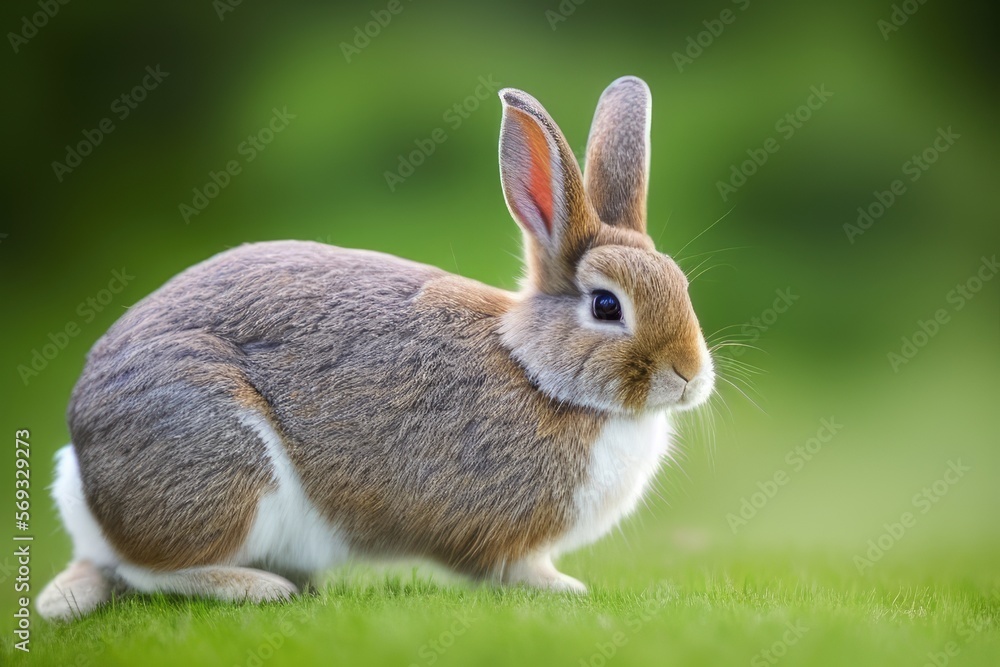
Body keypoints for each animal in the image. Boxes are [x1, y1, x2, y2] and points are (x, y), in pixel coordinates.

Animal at [37, 75, 715, 620]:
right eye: (606, 306)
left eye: (682, 286)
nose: (688, 375)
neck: (536, 370)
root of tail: (89, 493)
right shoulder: (491, 532)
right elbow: (509, 568)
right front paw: (562, 588)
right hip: (223, 466)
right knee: (151, 569)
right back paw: (255, 586)